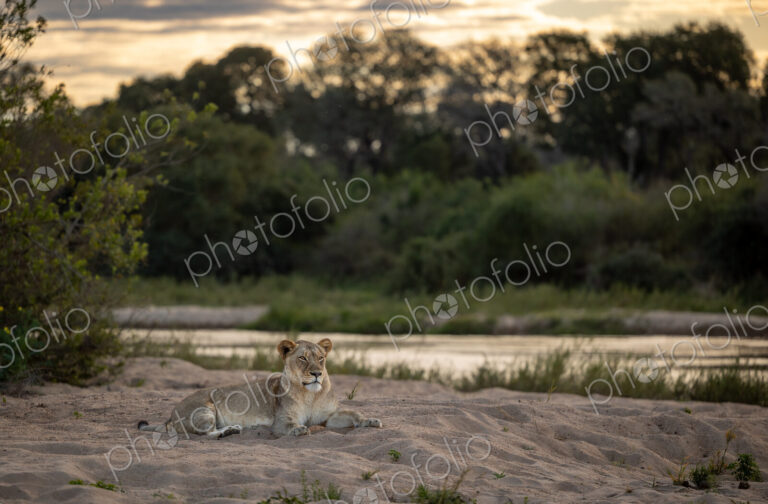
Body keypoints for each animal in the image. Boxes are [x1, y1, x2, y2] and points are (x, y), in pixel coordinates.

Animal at [137, 338, 382, 438]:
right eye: (303, 358)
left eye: (321, 358)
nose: (316, 374)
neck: (311, 395)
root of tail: (170, 415)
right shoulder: (281, 420)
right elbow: (290, 424)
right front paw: (298, 430)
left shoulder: (328, 417)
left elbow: (354, 414)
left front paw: (371, 421)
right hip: (204, 410)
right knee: (204, 434)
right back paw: (228, 432)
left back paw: (232, 430)